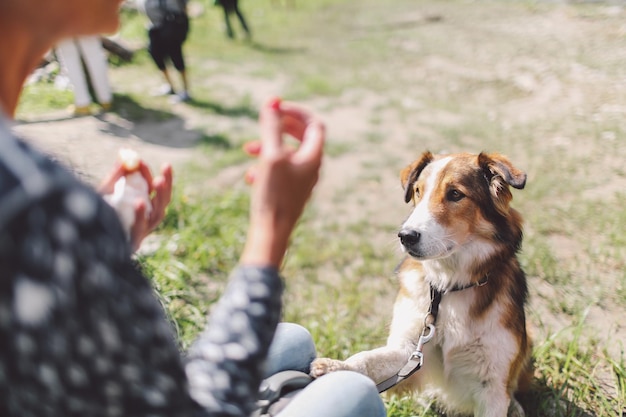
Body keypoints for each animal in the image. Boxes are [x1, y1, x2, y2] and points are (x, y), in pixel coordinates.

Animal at [310, 151, 528, 414]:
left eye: (455, 194)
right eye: (417, 191)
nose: (406, 236)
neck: (448, 286)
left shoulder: (493, 385)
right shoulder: (409, 348)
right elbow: (366, 358)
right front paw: (336, 367)